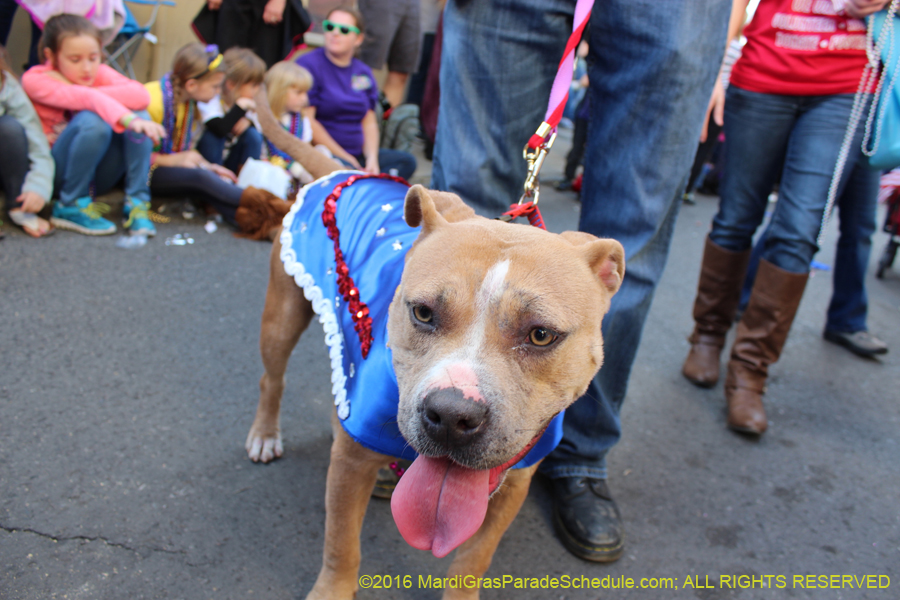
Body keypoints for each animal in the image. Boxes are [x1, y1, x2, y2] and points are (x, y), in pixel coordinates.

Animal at [248, 86, 624, 600]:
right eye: (423, 313)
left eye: (541, 334)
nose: (451, 415)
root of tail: (341, 171)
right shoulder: (350, 465)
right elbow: (342, 544)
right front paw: (332, 589)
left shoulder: (514, 483)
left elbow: (472, 560)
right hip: (282, 316)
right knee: (273, 378)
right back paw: (266, 434)